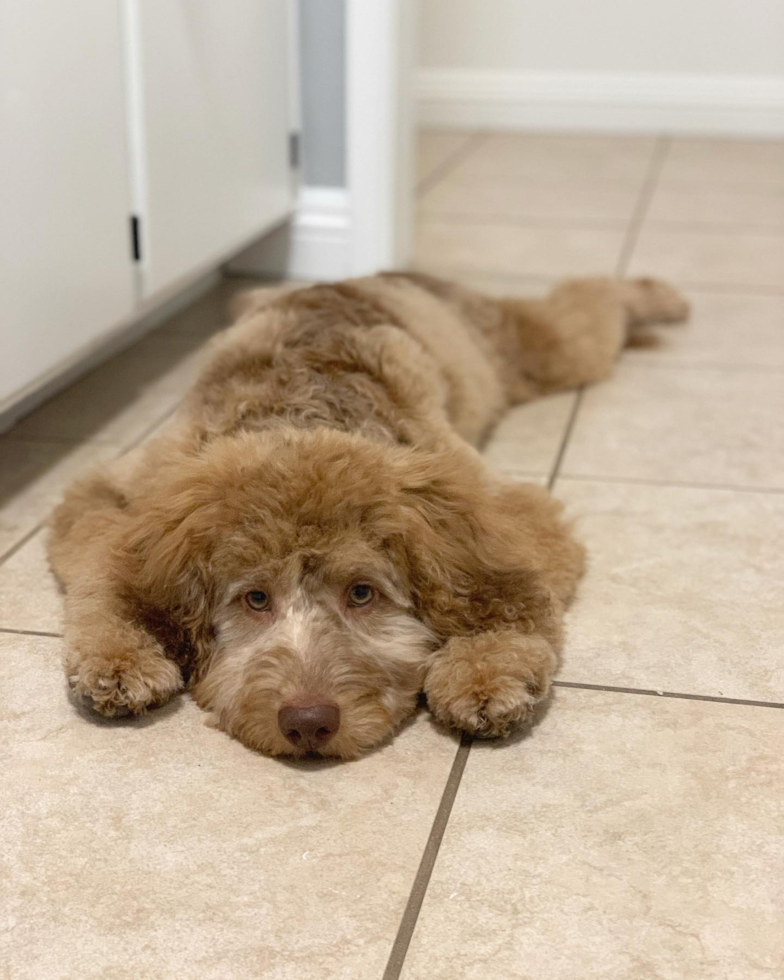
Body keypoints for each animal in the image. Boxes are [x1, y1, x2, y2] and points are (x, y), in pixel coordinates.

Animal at [47, 272, 688, 760]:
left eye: (361, 593)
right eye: (255, 599)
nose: (308, 723)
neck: (299, 415)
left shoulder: (499, 515)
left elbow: (511, 600)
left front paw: (485, 676)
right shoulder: (127, 496)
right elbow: (102, 571)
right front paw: (118, 659)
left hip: (534, 348)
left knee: (589, 300)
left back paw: (658, 297)